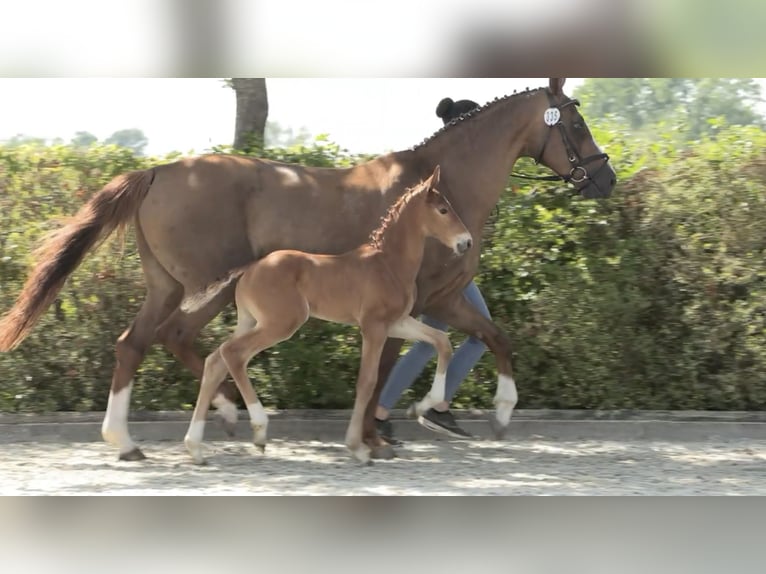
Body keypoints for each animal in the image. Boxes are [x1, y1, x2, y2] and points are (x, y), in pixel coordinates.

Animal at [182, 165, 472, 464]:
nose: (466, 242)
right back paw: (259, 429)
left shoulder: (398, 322)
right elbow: (367, 382)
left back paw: (196, 447)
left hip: (251, 321)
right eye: (443, 210)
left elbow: (442, 342)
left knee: (216, 360)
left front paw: (422, 407)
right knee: (233, 354)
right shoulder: (374, 326)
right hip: (281, 323)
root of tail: (250, 268)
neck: (389, 264)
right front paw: (357, 447)